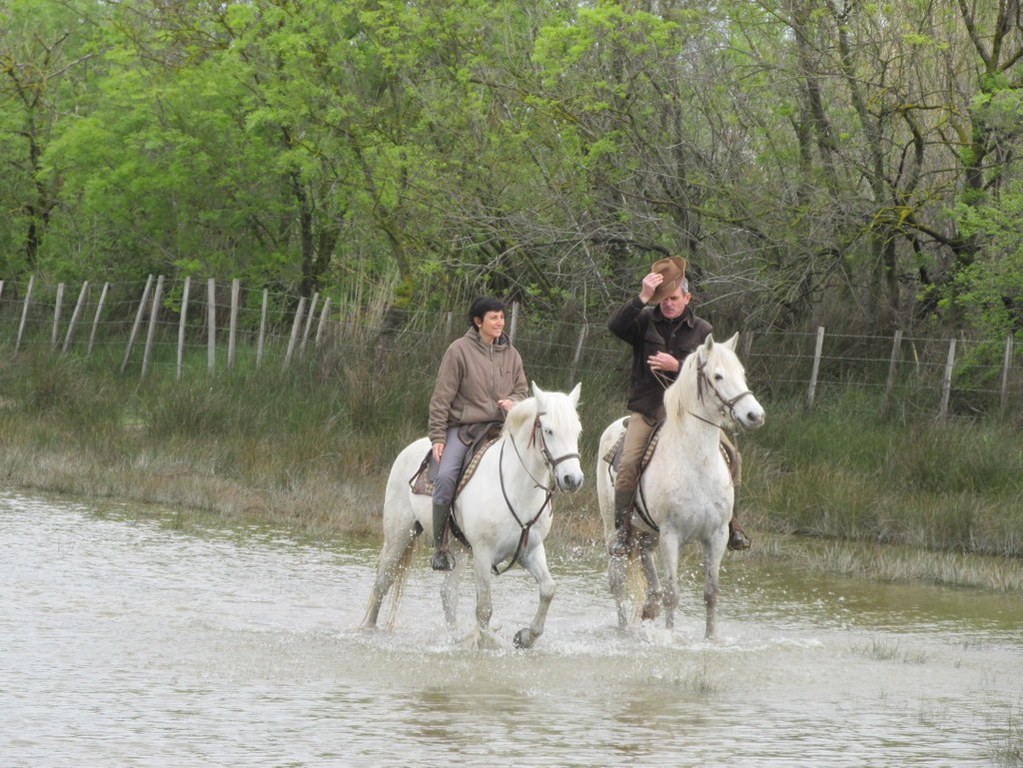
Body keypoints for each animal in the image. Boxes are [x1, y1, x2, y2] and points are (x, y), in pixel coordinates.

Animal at [362, 382, 585, 650]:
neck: (516, 488)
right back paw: (369, 630)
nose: (573, 479)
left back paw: (453, 638)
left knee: (448, 593)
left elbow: (548, 589)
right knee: (382, 582)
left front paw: (525, 637)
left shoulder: (530, 551)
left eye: (577, 432)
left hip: (457, 548)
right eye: (549, 431)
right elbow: (484, 608)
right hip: (400, 534)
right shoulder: (483, 553)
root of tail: (409, 450)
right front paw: (485, 643)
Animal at [597, 333, 765, 638]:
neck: (696, 464)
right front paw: (670, 638)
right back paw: (623, 629)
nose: (754, 415)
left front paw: (711, 639)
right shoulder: (671, 535)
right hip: (614, 530)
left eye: (742, 373)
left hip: (646, 534)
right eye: (717, 376)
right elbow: (672, 594)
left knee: (648, 571)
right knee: (618, 582)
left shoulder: (717, 535)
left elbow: (711, 593)